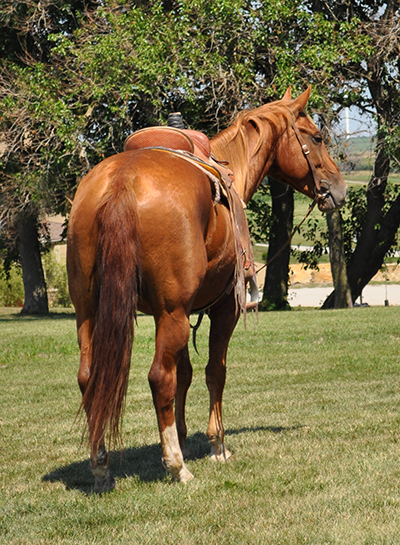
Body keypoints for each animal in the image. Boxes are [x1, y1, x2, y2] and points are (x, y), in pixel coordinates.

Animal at [66, 87, 346, 490]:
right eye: (318, 137)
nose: (338, 189)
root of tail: (122, 180)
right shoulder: (222, 308)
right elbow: (215, 370)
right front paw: (217, 444)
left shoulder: (172, 314)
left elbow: (185, 375)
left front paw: (183, 436)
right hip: (171, 313)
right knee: (159, 377)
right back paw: (176, 465)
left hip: (91, 312)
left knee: (90, 377)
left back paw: (102, 467)